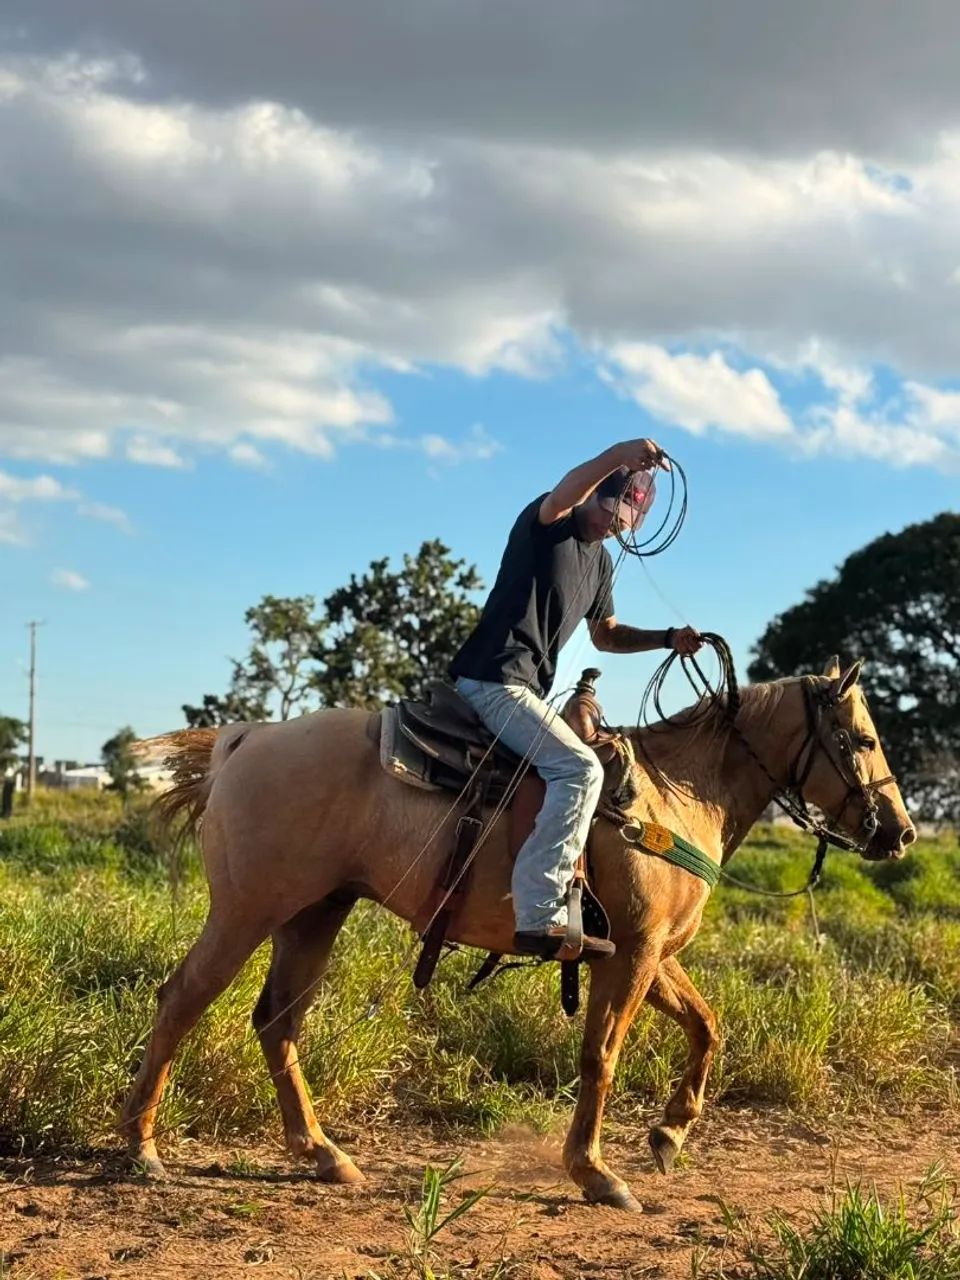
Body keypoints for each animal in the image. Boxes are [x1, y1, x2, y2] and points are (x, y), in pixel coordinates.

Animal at [121, 656, 914, 1210]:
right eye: (864, 738)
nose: (900, 832)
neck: (675, 794)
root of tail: (246, 739)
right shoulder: (631, 955)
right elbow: (602, 1056)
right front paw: (595, 1172)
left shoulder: (648, 954)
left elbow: (706, 1026)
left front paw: (670, 1133)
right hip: (247, 911)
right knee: (182, 998)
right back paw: (140, 1146)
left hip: (314, 914)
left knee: (277, 1023)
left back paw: (323, 1154)